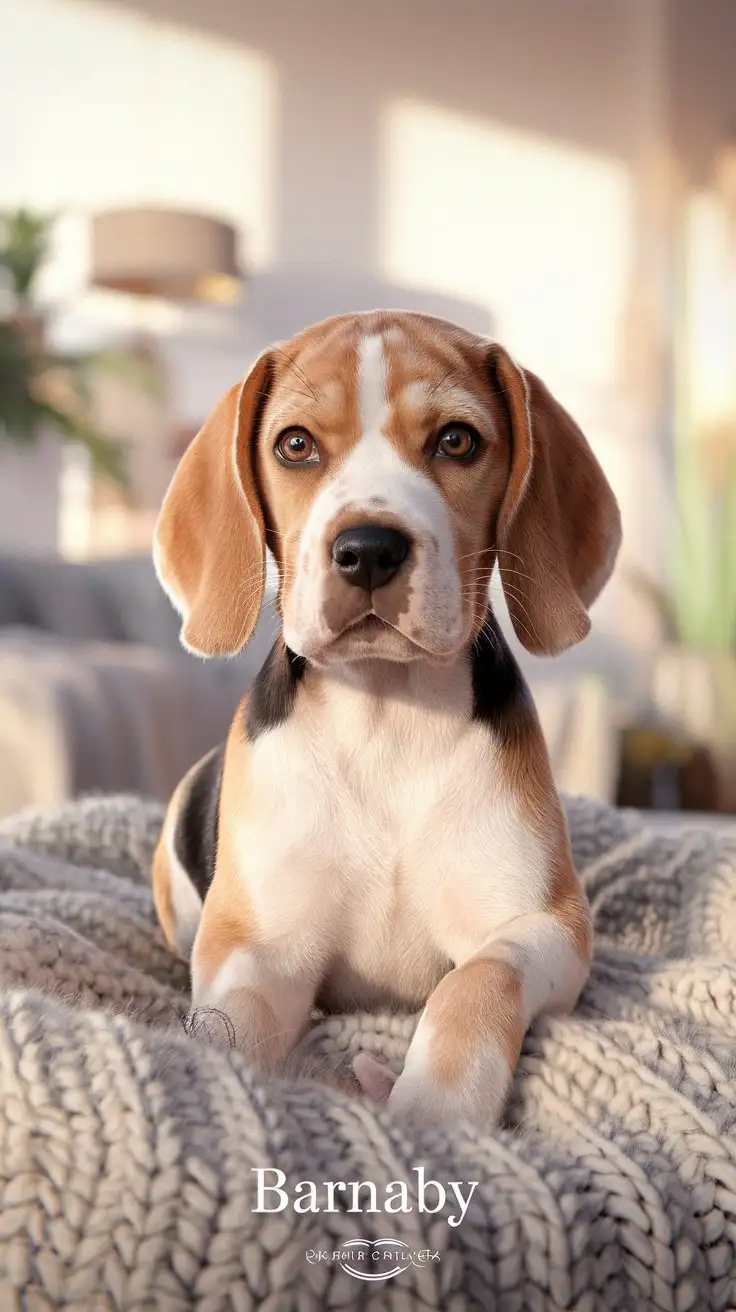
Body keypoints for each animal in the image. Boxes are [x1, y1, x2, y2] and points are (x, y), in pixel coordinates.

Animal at [149, 309, 619, 1128]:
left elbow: (473, 984)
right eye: (296, 444)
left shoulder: (546, 925)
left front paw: (435, 1112)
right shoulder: (256, 948)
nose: (368, 550)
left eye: (457, 441)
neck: (384, 719)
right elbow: (235, 1022)